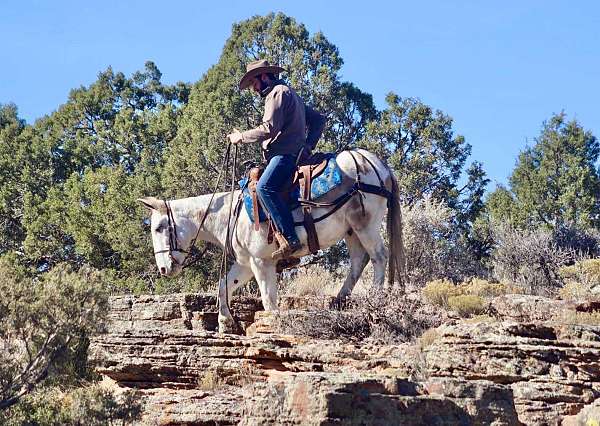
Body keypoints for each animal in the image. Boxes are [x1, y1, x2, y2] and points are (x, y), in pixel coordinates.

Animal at [138, 150, 406, 332]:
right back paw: (339, 300)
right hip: (351, 232)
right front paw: (226, 321)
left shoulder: (261, 262)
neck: (229, 215)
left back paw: (374, 298)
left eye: (159, 228)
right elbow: (224, 286)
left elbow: (269, 300)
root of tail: (379, 165)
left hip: (365, 226)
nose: (164, 269)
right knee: (359, 261)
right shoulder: (245, 264)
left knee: (378, 257)